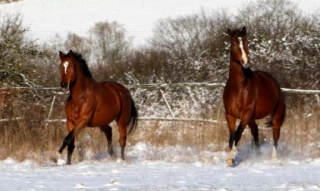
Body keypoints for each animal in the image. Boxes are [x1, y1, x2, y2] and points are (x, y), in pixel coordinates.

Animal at [222, 26, 284, 166]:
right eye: (233, 44)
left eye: (246, 42)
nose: (245, 62)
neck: (238, 87)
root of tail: (274, 82)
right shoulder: (230, 114)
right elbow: (231, 135)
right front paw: (230, 158)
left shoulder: (246, 113)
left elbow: (237, 134)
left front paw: (231, 158)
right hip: (251, 118)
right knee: (256, 132)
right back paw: (257, 155)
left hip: (276, 114)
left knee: (276, 133)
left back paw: (273, 158)